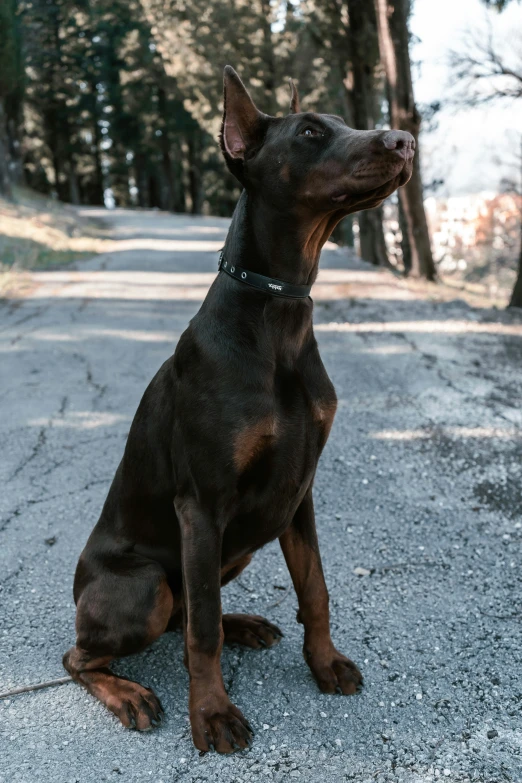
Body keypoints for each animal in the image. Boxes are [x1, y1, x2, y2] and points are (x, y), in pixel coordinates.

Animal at [63, 66, 412, 752]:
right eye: (310, 132)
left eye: (338, 122)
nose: (405, 139)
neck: (277, 312)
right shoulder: (202, 505)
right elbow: (205, 631)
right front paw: (212, 713)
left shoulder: (298, 492)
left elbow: (315, 590)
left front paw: (324, 663)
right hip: (147, 583)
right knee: (94, 650)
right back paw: (129, 693)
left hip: (243, 542)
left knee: (190, 611)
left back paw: (247, 624)